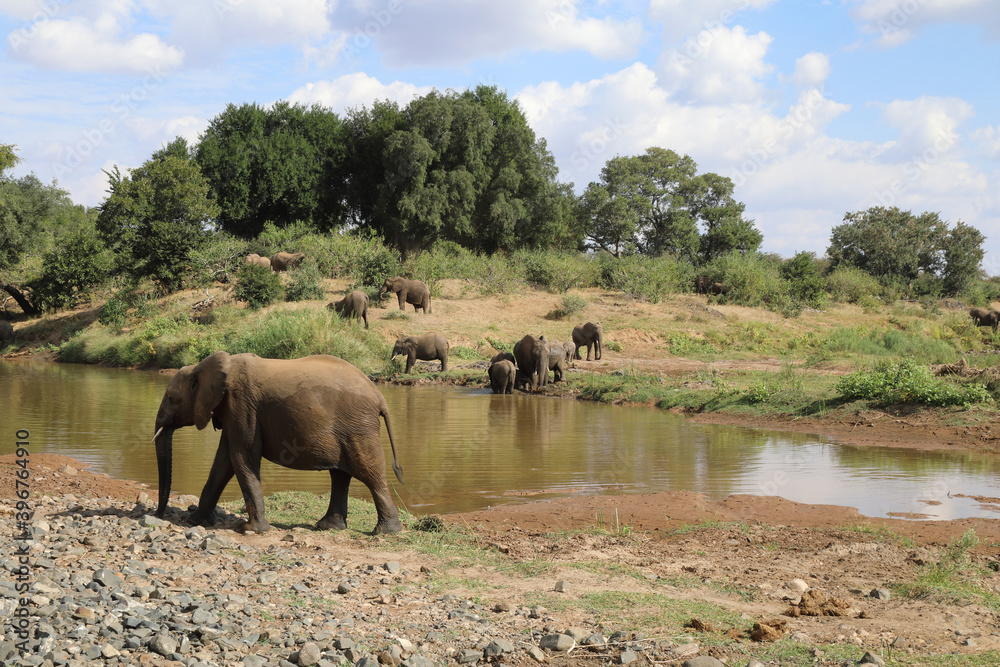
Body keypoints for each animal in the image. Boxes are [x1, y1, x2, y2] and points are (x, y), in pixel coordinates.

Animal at [152, 351, 403, 535]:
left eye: (171, 399)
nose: (157, 515)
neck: (206, 366)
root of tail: (379, 396)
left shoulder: (242, 405)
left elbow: (242, 457)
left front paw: (252, 530)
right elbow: (224, 462)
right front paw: (195, 521)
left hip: (358, 427)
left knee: (369, 473)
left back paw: (385, 532)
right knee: (340, 475)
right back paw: (328, 527)